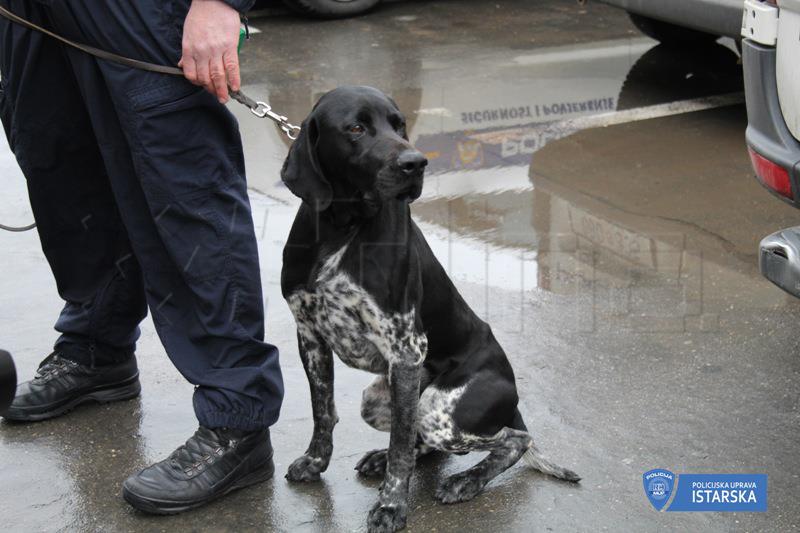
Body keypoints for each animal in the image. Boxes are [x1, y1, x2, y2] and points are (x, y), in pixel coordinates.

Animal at [278, 87, 580, 532]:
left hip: (441, 410)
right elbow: (323, 412)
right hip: (379, 399)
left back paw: (466, 481)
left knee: (514, 440)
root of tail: (513, 398)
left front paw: (391, 507)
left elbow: (401, 445)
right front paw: (316, 462)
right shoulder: (310, 335)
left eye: (400, 123)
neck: (342, 227)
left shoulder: (405, 348)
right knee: (426, 441)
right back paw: (382, 459)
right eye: (356, 128)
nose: (416, 163)